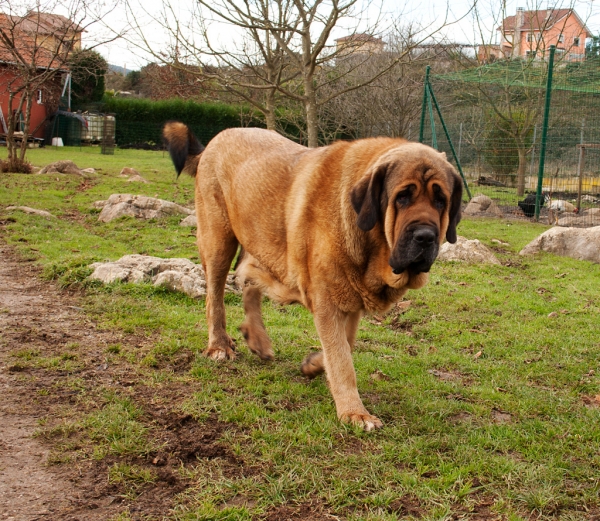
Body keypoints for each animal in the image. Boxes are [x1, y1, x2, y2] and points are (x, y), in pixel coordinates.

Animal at [162, 123, 462, 430]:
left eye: (441, 201)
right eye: (402, 197)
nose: (425, 236)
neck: (371, 244)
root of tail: (216, 140)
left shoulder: (350, 296)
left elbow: (344, 345)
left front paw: (315, 365)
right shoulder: (328, 299)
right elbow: (341, 357)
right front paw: (355, 412)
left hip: (263, 240)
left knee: (249, 277)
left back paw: (257, 338)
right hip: (218, 241)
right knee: (215, 297)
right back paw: (219, 346)